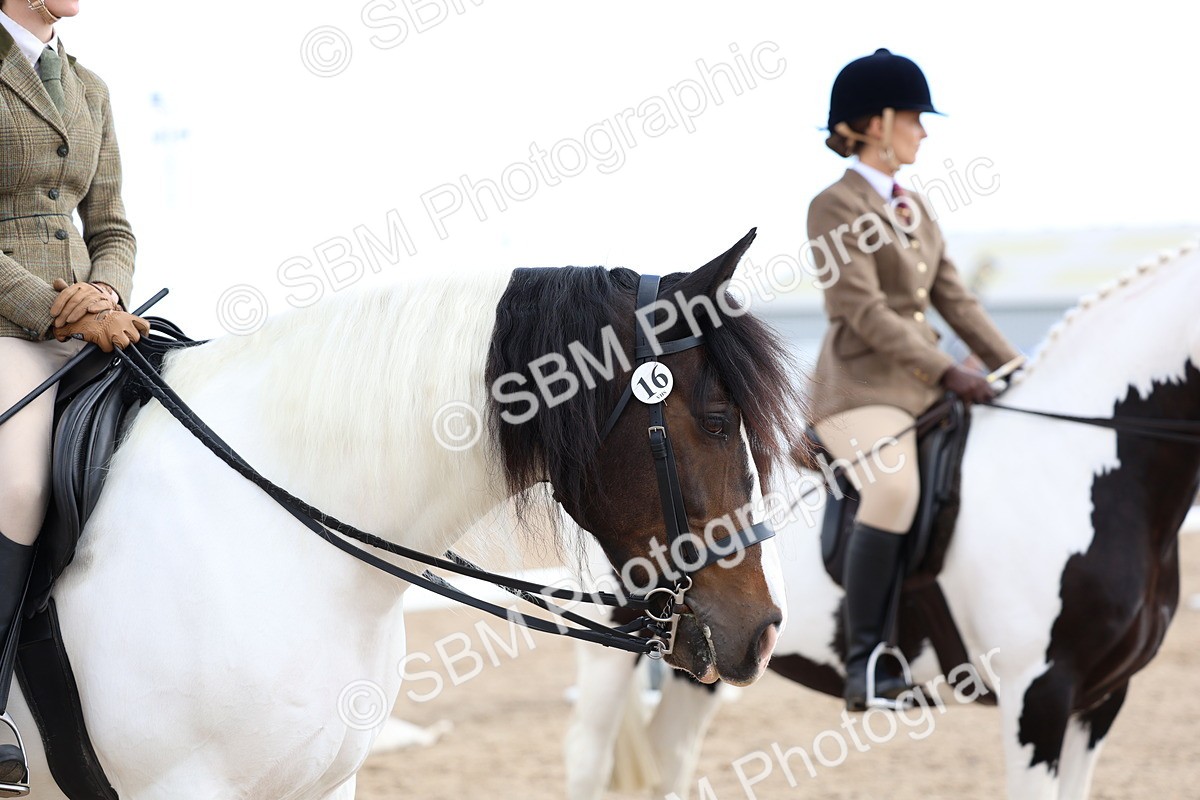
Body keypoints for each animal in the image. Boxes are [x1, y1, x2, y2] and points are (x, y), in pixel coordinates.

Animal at [564, 239, 1200, 800]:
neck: (1080, 464)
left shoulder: (1099, 701)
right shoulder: (1037, 693)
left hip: (705, 651)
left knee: (670, 756)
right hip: (608, 648)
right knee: (589, 764)